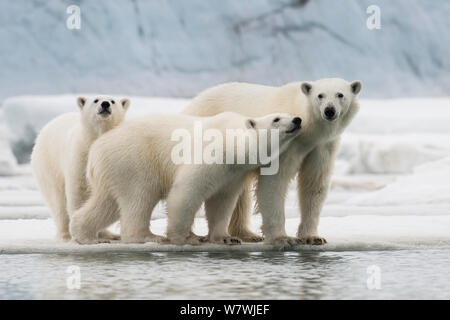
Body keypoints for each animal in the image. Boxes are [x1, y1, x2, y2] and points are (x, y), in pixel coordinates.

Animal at [31, 96, 130, 241]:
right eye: (96, 100)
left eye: (113, 101)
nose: (105, 104)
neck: (94, 138)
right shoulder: (80, 156)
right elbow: (80, 190)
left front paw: (104, 234)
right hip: (49, 164)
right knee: (58, 201)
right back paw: (65, 234)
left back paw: (110, 234)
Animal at [69, 111, 302, 244]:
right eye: (276, 119)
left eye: (289, 113)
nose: (298, 119)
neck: (233, 143)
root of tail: (96, 149)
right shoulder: (212, 153)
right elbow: (186, 191)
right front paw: (186, 238)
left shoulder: (232, 173)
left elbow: (222, 201)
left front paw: (226, 238)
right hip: (134, 160)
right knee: (140, 197)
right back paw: (148, 236)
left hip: (114, 170)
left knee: (107, 203)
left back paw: (86, 236)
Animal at [183, 77, 362, 245]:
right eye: (320, 95)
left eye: (340, 94)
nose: (329, 110)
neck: (308, 130)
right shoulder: (285, 144)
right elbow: (274, 181)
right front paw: (283, 238)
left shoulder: (322, 146)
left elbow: (314, 184)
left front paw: (312, 237)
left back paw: (247, 234)